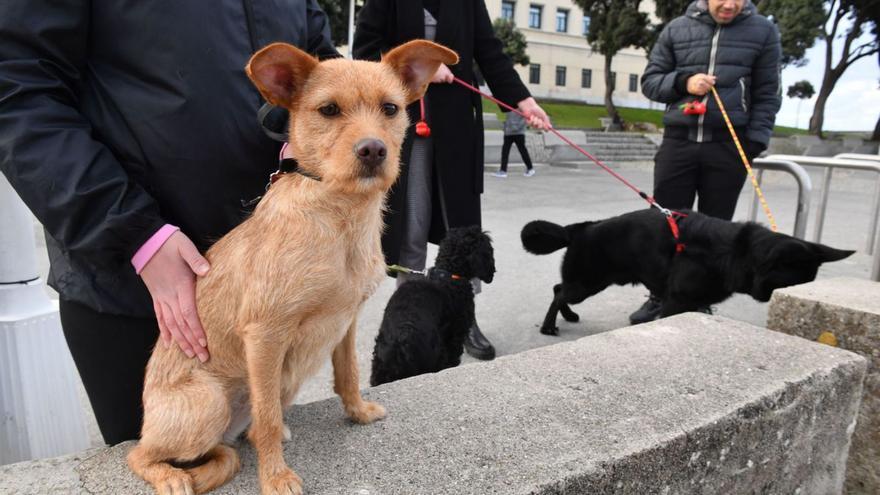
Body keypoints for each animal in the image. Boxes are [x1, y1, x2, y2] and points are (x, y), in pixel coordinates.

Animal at [129, 41, 460, 495]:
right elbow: (266, 420)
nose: (373, 150)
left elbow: (348, 373)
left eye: (390, 108)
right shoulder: (265, 333)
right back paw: (171, 475)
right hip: (209, 401)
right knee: (142, 453)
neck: (340, 217)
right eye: (329, 110)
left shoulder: (346, 320)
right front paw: (275, 477)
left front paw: (357, 412)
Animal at [524, 207, 852, 336]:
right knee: (559, 292)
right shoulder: (676, 302)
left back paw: (567, 316)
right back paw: (550, 326)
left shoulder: (694, 303)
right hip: (587, 282)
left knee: (558, 289)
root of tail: (580, 227)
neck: (734, 252)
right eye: (794, 284)